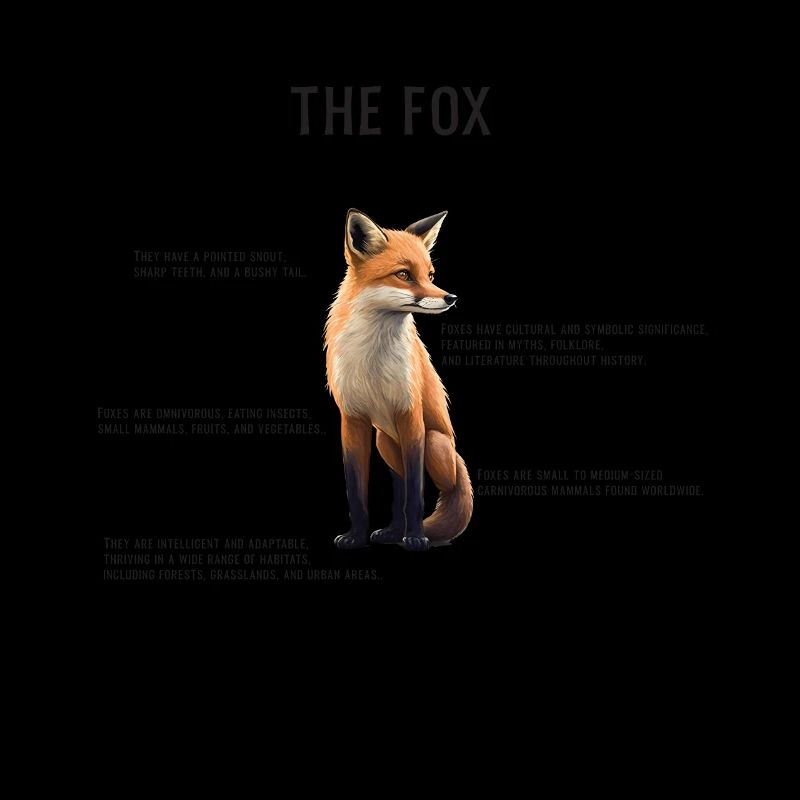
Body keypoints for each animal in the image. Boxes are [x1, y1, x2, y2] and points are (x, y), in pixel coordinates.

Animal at [325, 209, 473, 551]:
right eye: (403, 274)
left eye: (430, 275)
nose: (451, 297)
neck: (373, 362)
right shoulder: (352, 420)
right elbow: (357, 492)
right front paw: (355, 536)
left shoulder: (410, 415)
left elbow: (415, 494)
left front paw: (416, 537)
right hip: (385, 442)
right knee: (399, 483)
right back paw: (393, 531)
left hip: (434, 442)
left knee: (437, 486)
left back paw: (407, 531)